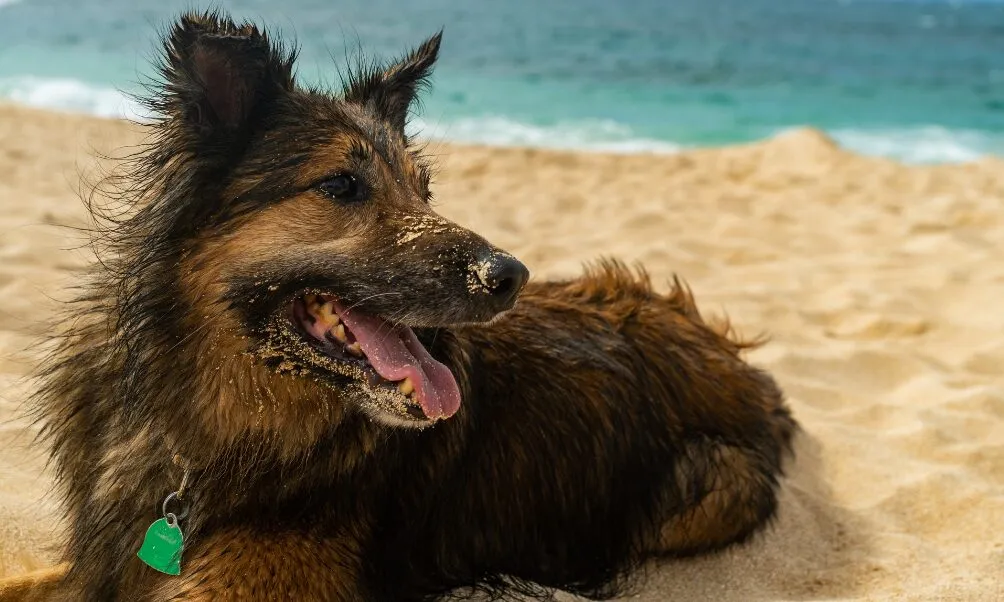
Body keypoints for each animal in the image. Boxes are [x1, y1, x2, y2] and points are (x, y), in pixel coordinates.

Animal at [19, 9, 795, 602]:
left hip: (713, 488)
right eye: (341, 185)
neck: (195, 422)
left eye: (424, 190)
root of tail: (727, 348)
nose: (511, 275)